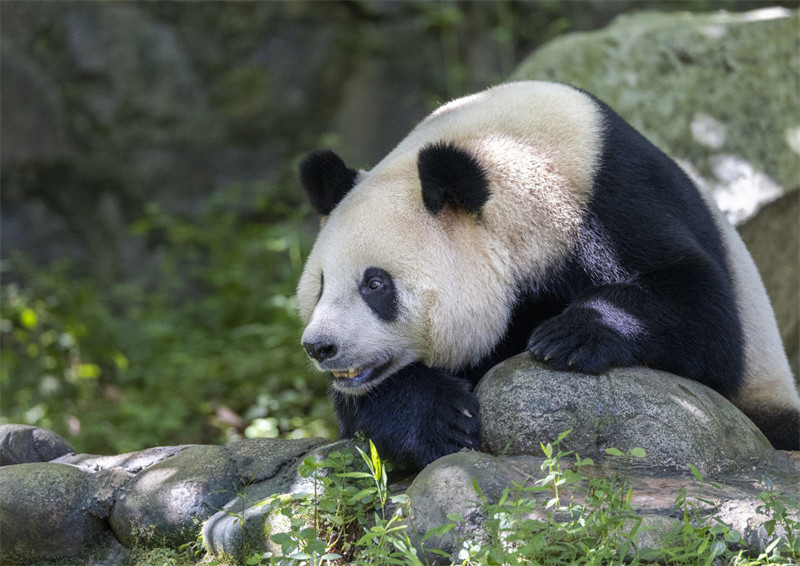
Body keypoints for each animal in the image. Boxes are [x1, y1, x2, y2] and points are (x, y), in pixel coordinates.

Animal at [296, 81, 800, 470]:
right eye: (320, 285)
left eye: (375, 284)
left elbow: (704, 310)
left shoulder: (615, 199)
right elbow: (364, 405)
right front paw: (442, 420)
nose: (320, 346)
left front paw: (569, 336)